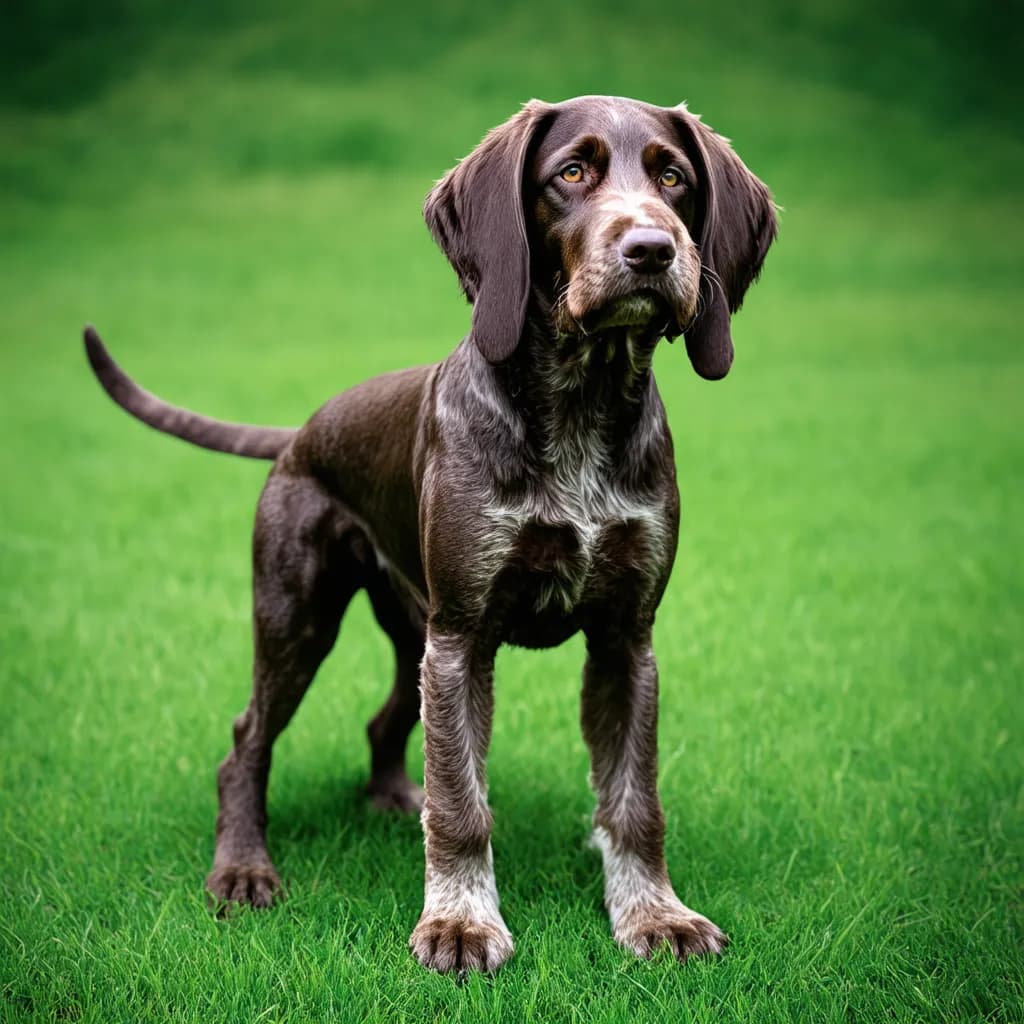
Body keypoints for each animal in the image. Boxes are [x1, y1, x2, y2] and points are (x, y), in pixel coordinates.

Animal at [86, 96, 774, 974]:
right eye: (571, 173)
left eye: (674, 177)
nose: (652, 249)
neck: (579, 407)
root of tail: (299, 435)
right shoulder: (463, 640)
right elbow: (462, 807)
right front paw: (460, 924)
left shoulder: (625, 641)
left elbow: (632, 802)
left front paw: (655, 915)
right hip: (302, 619)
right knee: (245, 743)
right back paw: (243, 870)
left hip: (413, 630)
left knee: (383, 724)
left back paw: (387, 798)